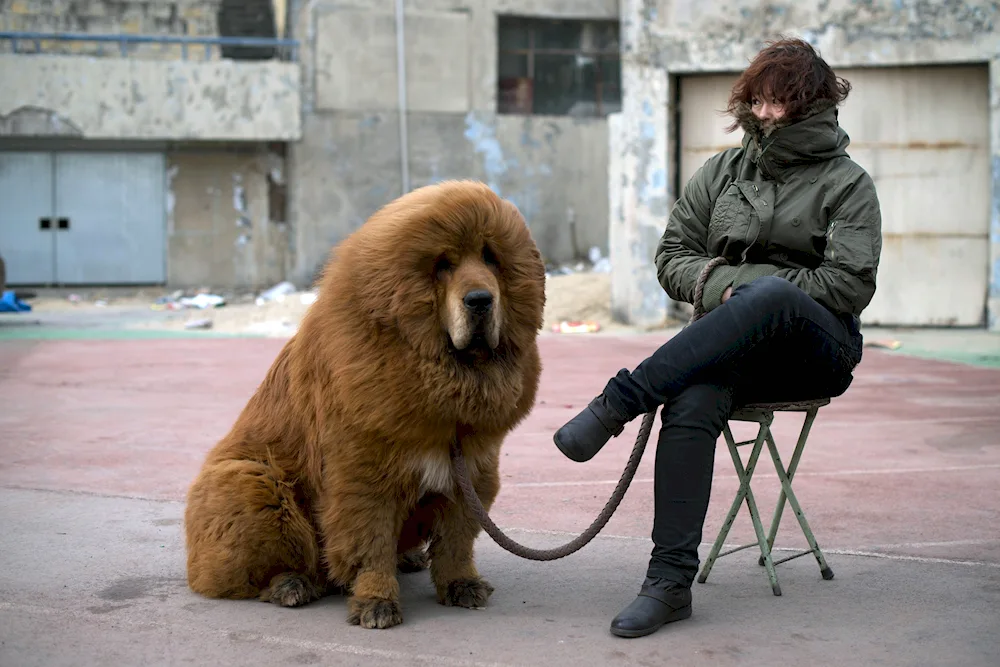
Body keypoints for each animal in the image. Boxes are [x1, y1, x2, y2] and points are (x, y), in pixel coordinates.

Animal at [185, 180, 552, 628]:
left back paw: (408, 558)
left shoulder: (473, 469)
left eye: (490, 258)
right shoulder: (364, 474)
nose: (480, 299)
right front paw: (376, 602)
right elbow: (369, 543)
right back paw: (291, 585)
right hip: (252, 483)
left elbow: (456, 540)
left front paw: (461, 584)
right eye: (443, 265)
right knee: (264, 567)